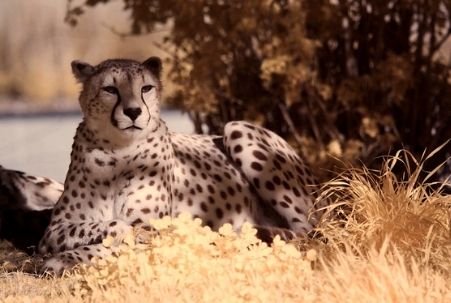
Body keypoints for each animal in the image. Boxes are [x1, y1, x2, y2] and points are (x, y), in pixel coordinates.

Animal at [0, 57, 324, 276]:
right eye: (110, 89)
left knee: (310, 233)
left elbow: (125, 236)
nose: (133, 111)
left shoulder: (153, 229)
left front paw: (66, 260)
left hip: (237, 128)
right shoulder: (55, 229)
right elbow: (108, 227)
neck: (118, 151)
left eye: (146, 88)